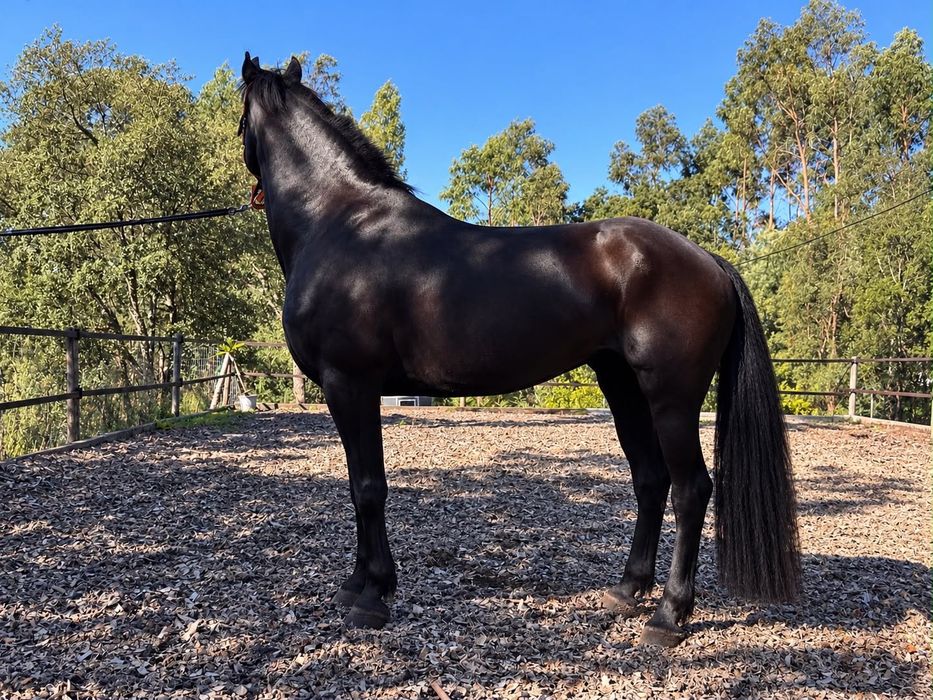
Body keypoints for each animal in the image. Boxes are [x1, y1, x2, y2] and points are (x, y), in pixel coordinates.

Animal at [237, 53, 800, 647]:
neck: (340, 223)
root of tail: (709, 259)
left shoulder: (351, 384)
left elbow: (368, 487)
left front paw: (373, 597)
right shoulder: (348, 390)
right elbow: (354, 484)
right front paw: (356, 585)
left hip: (672, 398)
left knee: (691, 490)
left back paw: (668, 616)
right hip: (623, 385)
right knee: (651, 479)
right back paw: (627, 590)